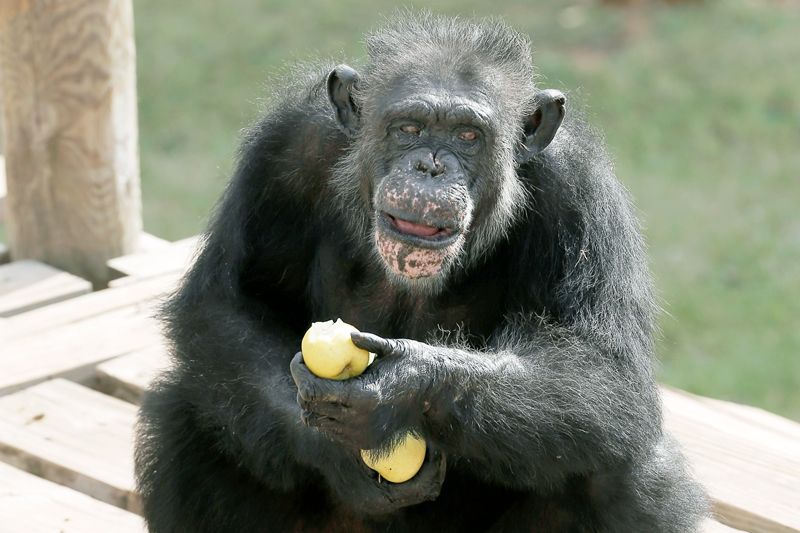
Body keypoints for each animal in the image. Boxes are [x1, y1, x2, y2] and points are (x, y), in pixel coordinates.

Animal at [136, 13, 708, 532]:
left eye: (468, 135)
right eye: (408, 128)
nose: (430, 166)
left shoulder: (580, 189)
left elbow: (604, 369)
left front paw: (401, 389)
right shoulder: (287, 147)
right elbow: (231, 301)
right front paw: (331, 448)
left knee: (622, 476)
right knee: (192, 410)